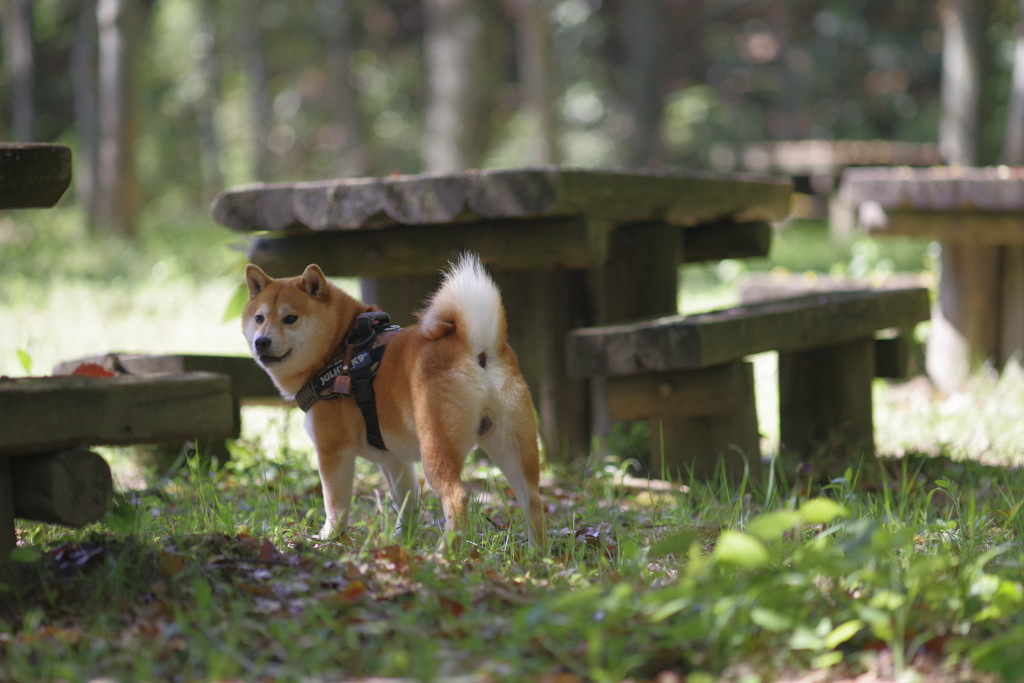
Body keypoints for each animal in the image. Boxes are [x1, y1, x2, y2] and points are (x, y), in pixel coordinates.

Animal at [244, 253, 548, 552]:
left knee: (457, 498)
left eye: (290, 318)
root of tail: (479, 349)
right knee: (533, 499)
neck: (339, 349)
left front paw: (329, 538)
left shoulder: (332, 451)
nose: (262, 341)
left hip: (437, 448)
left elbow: (335, 506)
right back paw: (536, 553)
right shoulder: (393, 460)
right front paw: (403, 541)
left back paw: (445, 554)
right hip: (512, 447)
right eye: (259, 318)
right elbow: (407, 504)